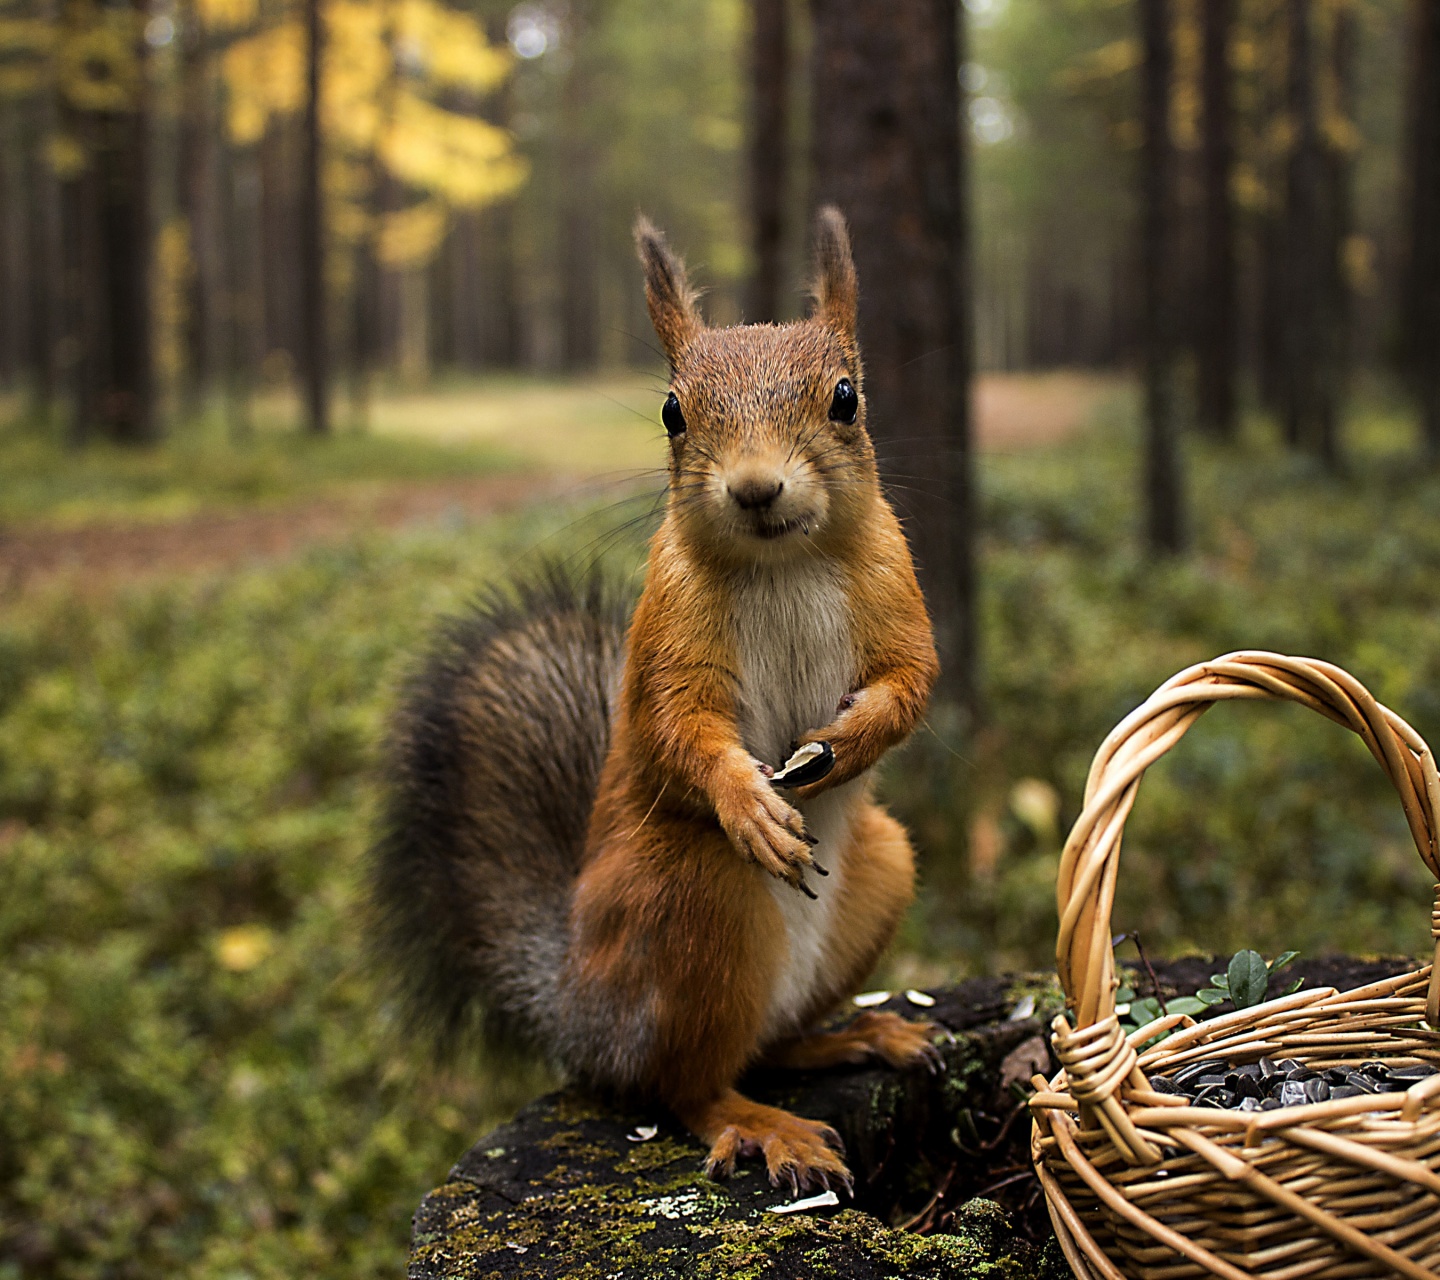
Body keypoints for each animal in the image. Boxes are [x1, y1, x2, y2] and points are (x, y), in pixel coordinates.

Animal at [368, 204, 944, 1192]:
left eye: (846, 398)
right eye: (674, 412)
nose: (755, 487)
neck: (783, 562)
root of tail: (579, 1012)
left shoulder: (895, 590)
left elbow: (911, 682)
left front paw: (848, 743)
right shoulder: (669, 633)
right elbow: (679, 727)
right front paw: (749, 802)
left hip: (882, 869)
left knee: (767, 1045)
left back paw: (856, 1036)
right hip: (690, 900)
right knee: (685, 1084)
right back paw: (762, 1123)